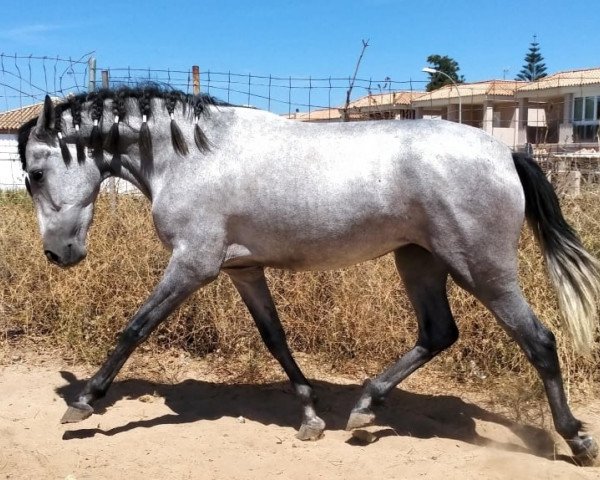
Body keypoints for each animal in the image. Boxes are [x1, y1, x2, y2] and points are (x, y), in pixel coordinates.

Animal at [16, 88, 596, 464]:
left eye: (36, 174)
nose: (58, 254)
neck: (191, 156)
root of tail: (506, 152)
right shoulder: (243, 270)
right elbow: (275, 338)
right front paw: (311, 416)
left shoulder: (193, 264)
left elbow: (135, 327)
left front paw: (83, 403)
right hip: (418, 259)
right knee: (438, 333)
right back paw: (363, 408)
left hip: (482, 267)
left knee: (539, 341)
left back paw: (576, 439)